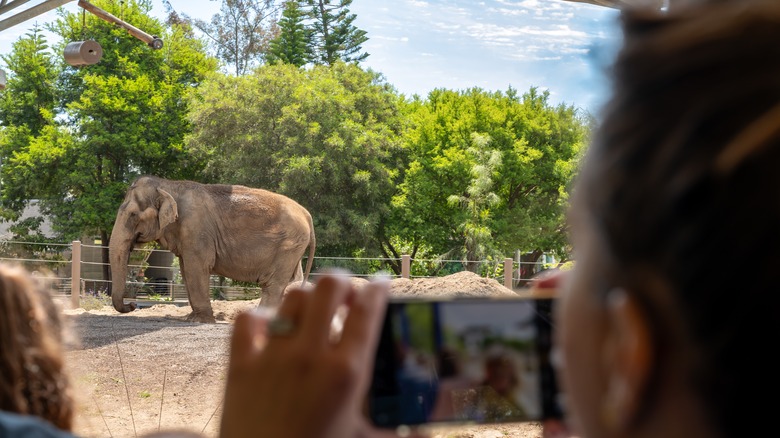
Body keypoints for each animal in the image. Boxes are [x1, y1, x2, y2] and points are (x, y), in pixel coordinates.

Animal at [109, 175, 316, 323]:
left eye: (133, 215)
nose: (133, 304)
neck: (169, 185)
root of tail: (307, 214)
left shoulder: (196, 229)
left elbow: (196, 268)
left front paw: (199, 320)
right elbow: (186, 270)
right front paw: (192, 318)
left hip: (288, 245)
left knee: (273, 284)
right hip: (293, 246)